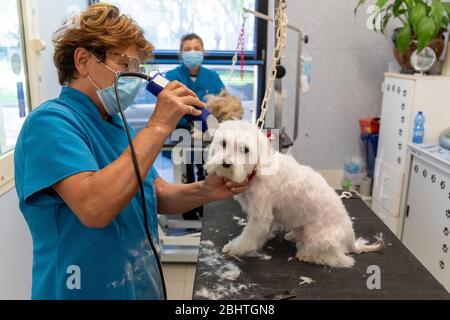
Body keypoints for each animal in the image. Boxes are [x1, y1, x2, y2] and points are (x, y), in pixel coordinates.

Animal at [205, 120, 384, 268]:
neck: (257, 170)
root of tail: (351, 240)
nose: (226, 163)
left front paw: (235, 247)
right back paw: (293, 235)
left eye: (245, 150)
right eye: (223, 143)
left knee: (340, 260)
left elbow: (249, 236)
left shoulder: (260, 215)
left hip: (319, 238)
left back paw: (307, 254)